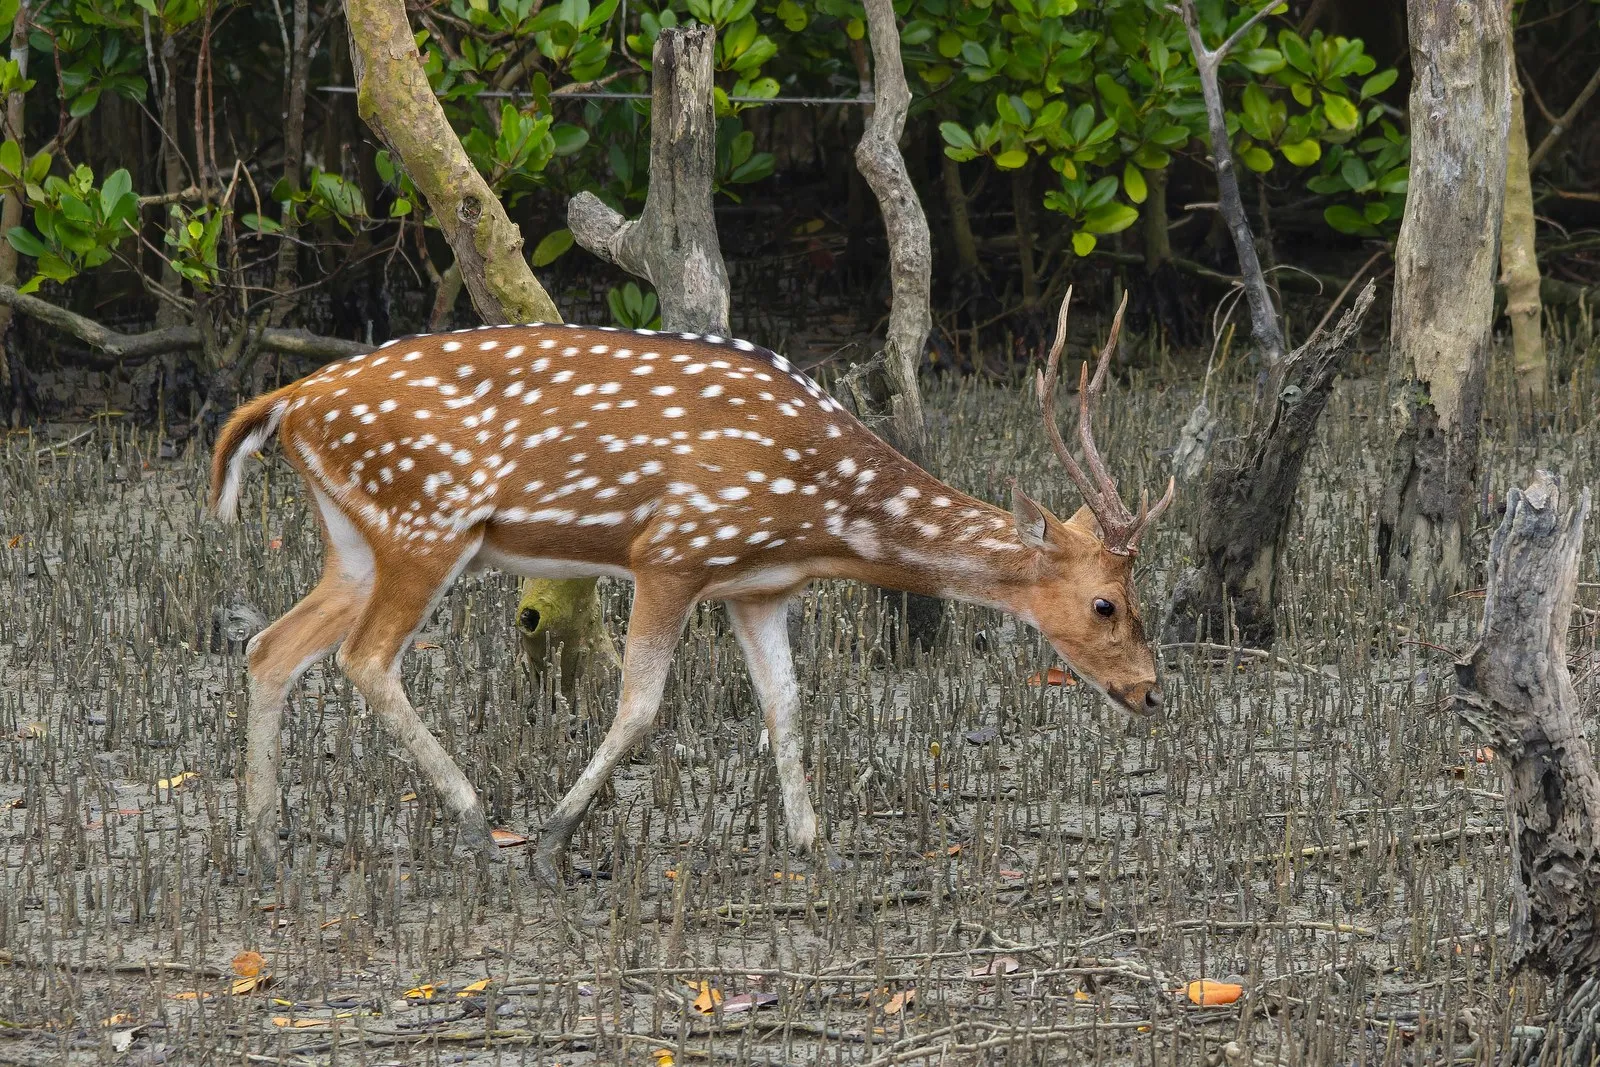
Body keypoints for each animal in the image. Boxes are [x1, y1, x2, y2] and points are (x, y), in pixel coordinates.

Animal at [209, 287, 1174, 887]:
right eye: (1107, 603)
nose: (1150, 692)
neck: (819, 515)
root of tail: (284, 401)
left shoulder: (757, 585)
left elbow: (787, 704)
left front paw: (812, 841)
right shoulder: (672, 549)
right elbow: (642, 704)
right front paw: (554, 846)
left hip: (357, 541)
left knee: (269, 646)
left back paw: (263, 846)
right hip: (427, 521)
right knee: (365, 658)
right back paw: (482, 826)